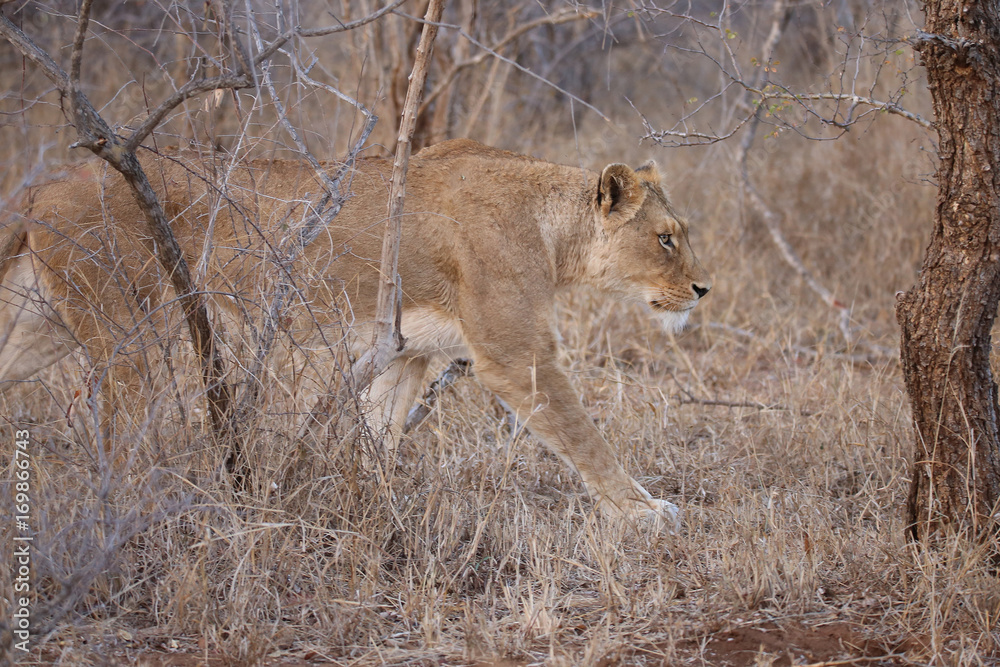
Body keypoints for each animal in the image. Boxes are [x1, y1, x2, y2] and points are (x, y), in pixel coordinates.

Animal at [0, 138, 711, 528]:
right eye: (666, 237)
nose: (703, 289)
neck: (553, 231)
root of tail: (43, 186)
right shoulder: (515, 355)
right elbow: (584, 436)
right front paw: (645, 514)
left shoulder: (406, 352)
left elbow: (378, 438)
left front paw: (377, 511)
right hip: (127, 334)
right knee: (114, 438)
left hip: (36, 328)